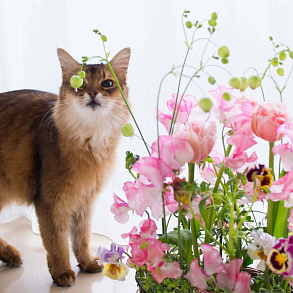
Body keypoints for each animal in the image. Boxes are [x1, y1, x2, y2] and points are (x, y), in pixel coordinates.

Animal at [0, 47, 130, 286]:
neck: (90, 140)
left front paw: (86, 263)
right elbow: (57, 242)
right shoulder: (51, 202)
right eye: (79, 84)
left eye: (107, 83)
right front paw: (61, 272)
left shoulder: (85, 200)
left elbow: (82, 237)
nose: (93, 93)